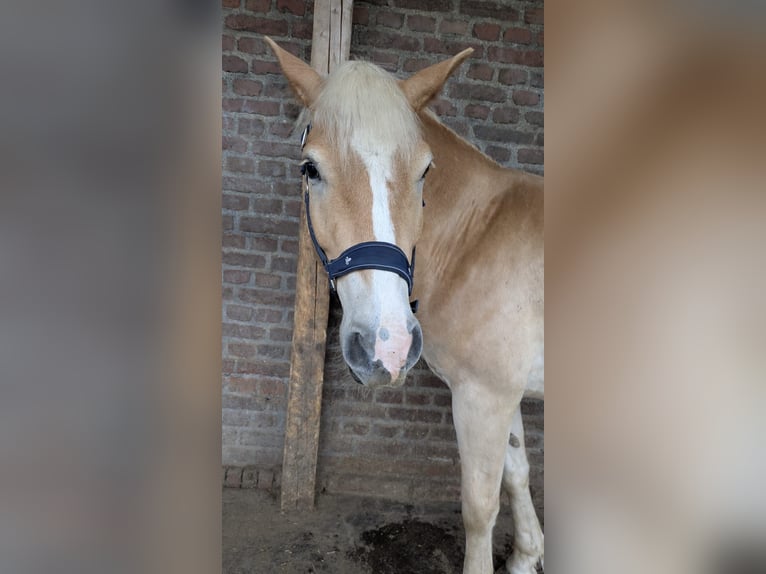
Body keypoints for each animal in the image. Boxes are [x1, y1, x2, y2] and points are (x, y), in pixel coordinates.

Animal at [265, 37, 544, 574]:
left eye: (424, 171)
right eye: (311, 169)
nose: (387, 347)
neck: (476, 237)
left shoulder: (483, 396)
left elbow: (480, 508)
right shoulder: (503, 391)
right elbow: (518, 472)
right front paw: (526, 556)